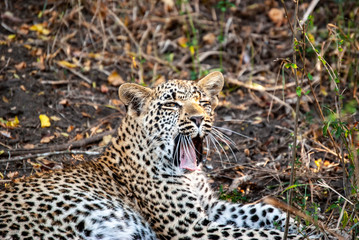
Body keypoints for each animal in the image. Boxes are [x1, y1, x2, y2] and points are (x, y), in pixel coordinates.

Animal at [0, 71, 306, 240]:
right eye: (172, 105)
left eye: (204, 102)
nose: (198, 118)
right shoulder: (192, 227)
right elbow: (259, 234)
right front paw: (297, 234)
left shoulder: (210, 208)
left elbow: (261, 210)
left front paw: (299, 225)